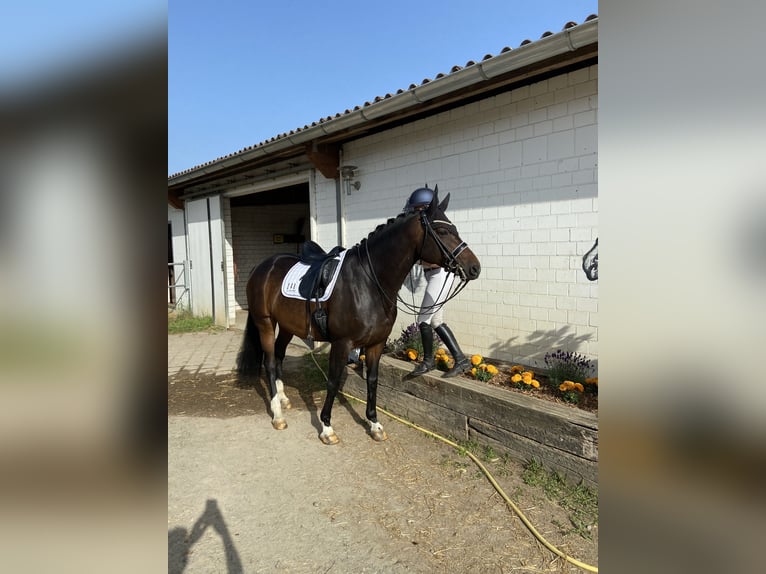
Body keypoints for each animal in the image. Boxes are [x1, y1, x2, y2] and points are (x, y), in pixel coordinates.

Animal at [237, 189, 484, 446]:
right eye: (443, 231)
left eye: (454, 228)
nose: (474, 267)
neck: (368, 282)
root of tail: (263, 266)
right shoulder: (341, 343)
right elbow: (333, 381)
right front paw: (326, 428)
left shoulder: (377, 343)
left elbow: (373, 380)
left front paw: (374, 424)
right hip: (265, 323)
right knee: (269, 361)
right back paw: (277, 414)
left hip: (287, 326)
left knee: (279, 356)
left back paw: (283, 399)